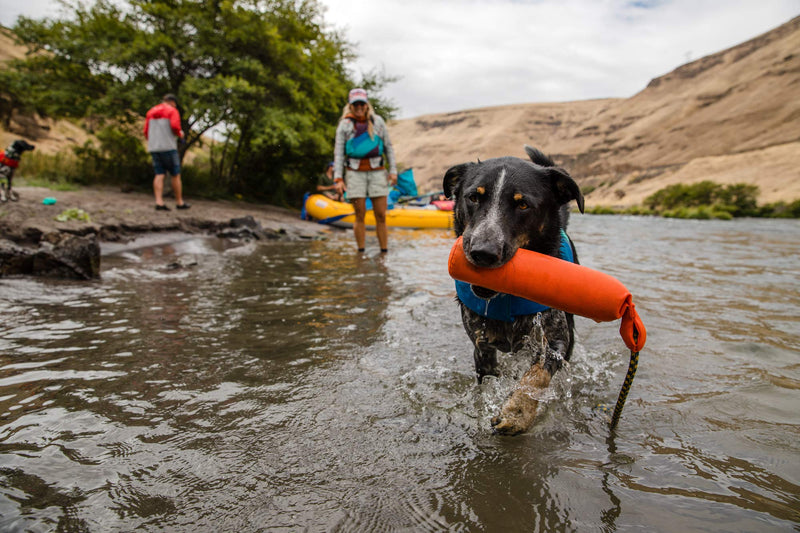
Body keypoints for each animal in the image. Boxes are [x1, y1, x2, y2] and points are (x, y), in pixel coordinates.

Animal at [440, 144, 584, 432]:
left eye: (523, 204)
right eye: (473, 197)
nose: (483, 253)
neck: (507, 297)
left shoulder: (558, 341)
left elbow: (537, 375)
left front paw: (518, 412)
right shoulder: (482, 347)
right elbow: (488, 380)